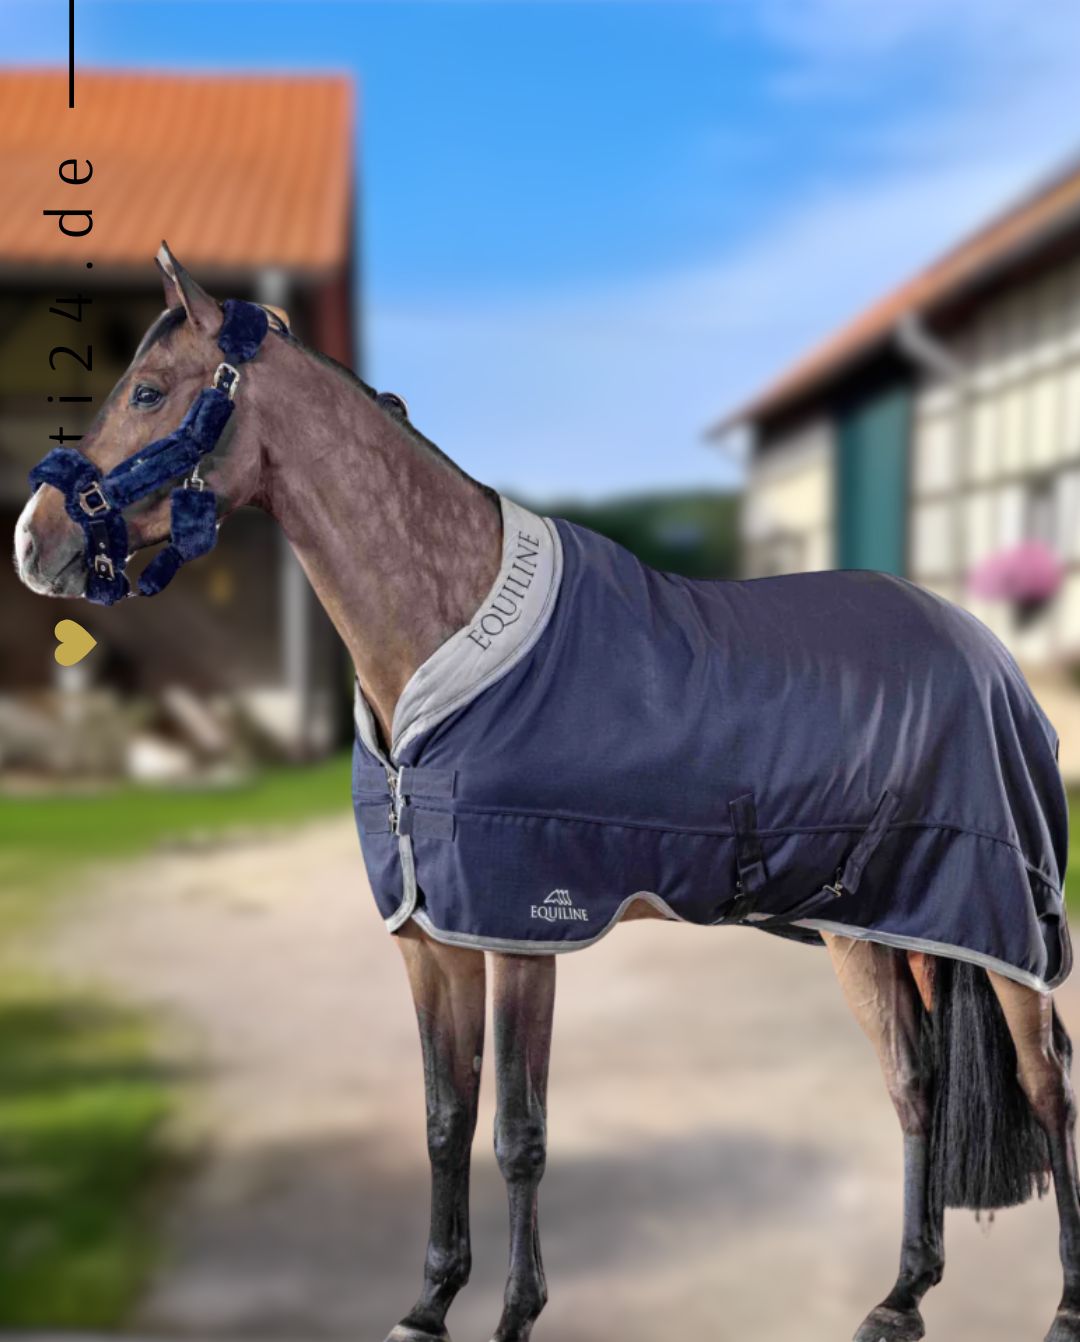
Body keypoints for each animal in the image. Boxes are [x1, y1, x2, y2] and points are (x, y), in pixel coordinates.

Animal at [14, 243, 1078, 1342]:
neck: (444, 636)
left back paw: (1061, 1307)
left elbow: (518, 1132)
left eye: (147, 390)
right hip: (883, 925)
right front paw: (428, 1303)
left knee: (1046, 1083)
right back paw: (901, 1296)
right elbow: (445, 1118)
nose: (34, 543)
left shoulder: (525, 930)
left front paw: (515, 1314)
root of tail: (987, 654)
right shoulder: (431, 939)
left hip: (1000, 925)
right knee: (915, 1083)